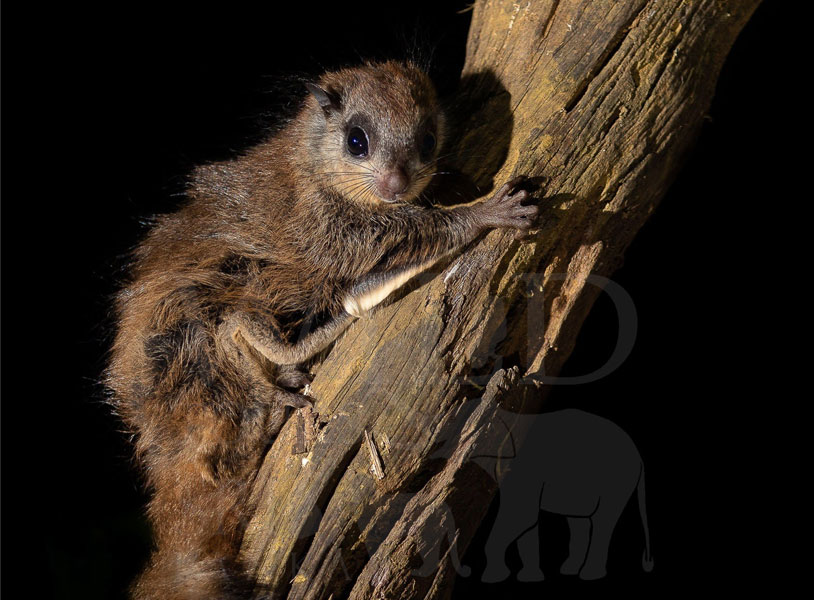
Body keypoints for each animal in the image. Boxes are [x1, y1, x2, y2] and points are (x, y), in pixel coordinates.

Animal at [106, 60, 538, 599]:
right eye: (356, 141)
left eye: (426, 141)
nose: (396, 183)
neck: (311, 167)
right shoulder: (331, 231)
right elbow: (418, 233)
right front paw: (487, 213)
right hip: (197, 322)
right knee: (235, 330)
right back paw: (288, 382)